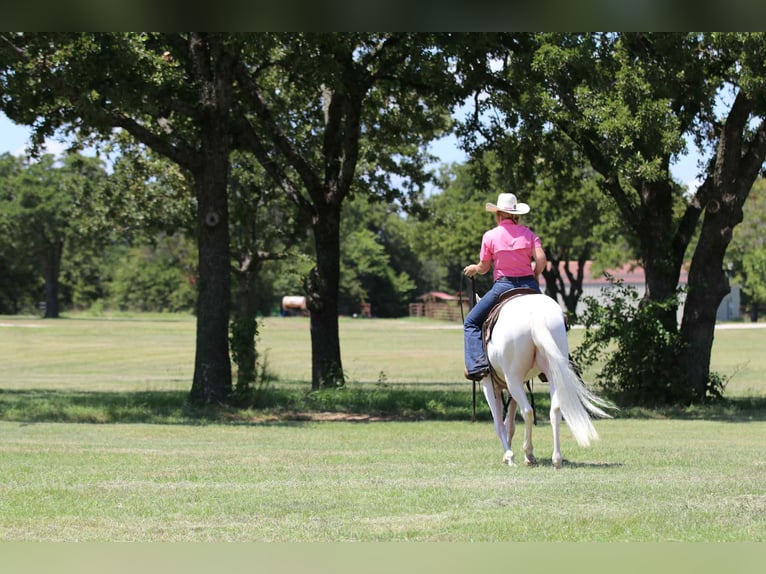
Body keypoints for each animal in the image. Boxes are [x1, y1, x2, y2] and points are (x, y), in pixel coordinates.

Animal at [480, 292, 613, 469]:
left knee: (528, 411)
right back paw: (556, 458)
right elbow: (510, 423)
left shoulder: (489, 385)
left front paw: (509, 456)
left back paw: (529, 454)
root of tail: (535, 315)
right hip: (552, 373)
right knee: (555, 410)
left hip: (513, 379)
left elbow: (499, 423)